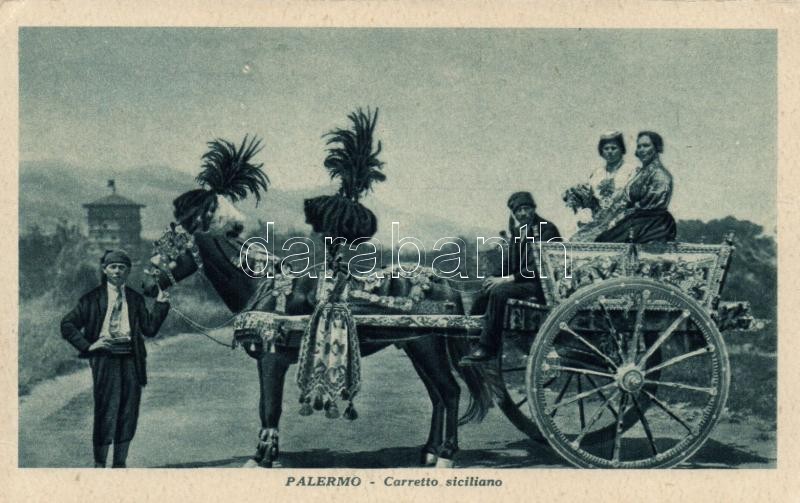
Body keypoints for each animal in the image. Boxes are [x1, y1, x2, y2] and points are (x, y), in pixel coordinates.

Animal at [144, 193, 494, 468]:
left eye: (168, 247)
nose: (147, 285)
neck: (263, 285)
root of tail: (445, 282)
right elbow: (267, 406)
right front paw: (266, 453)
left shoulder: (272, 359)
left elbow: (269, 406)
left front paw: (263, 457)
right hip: (414, 345)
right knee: (438, 395)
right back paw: (430, 451)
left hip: (427, 345)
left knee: (450, 391)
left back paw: (447, 454)